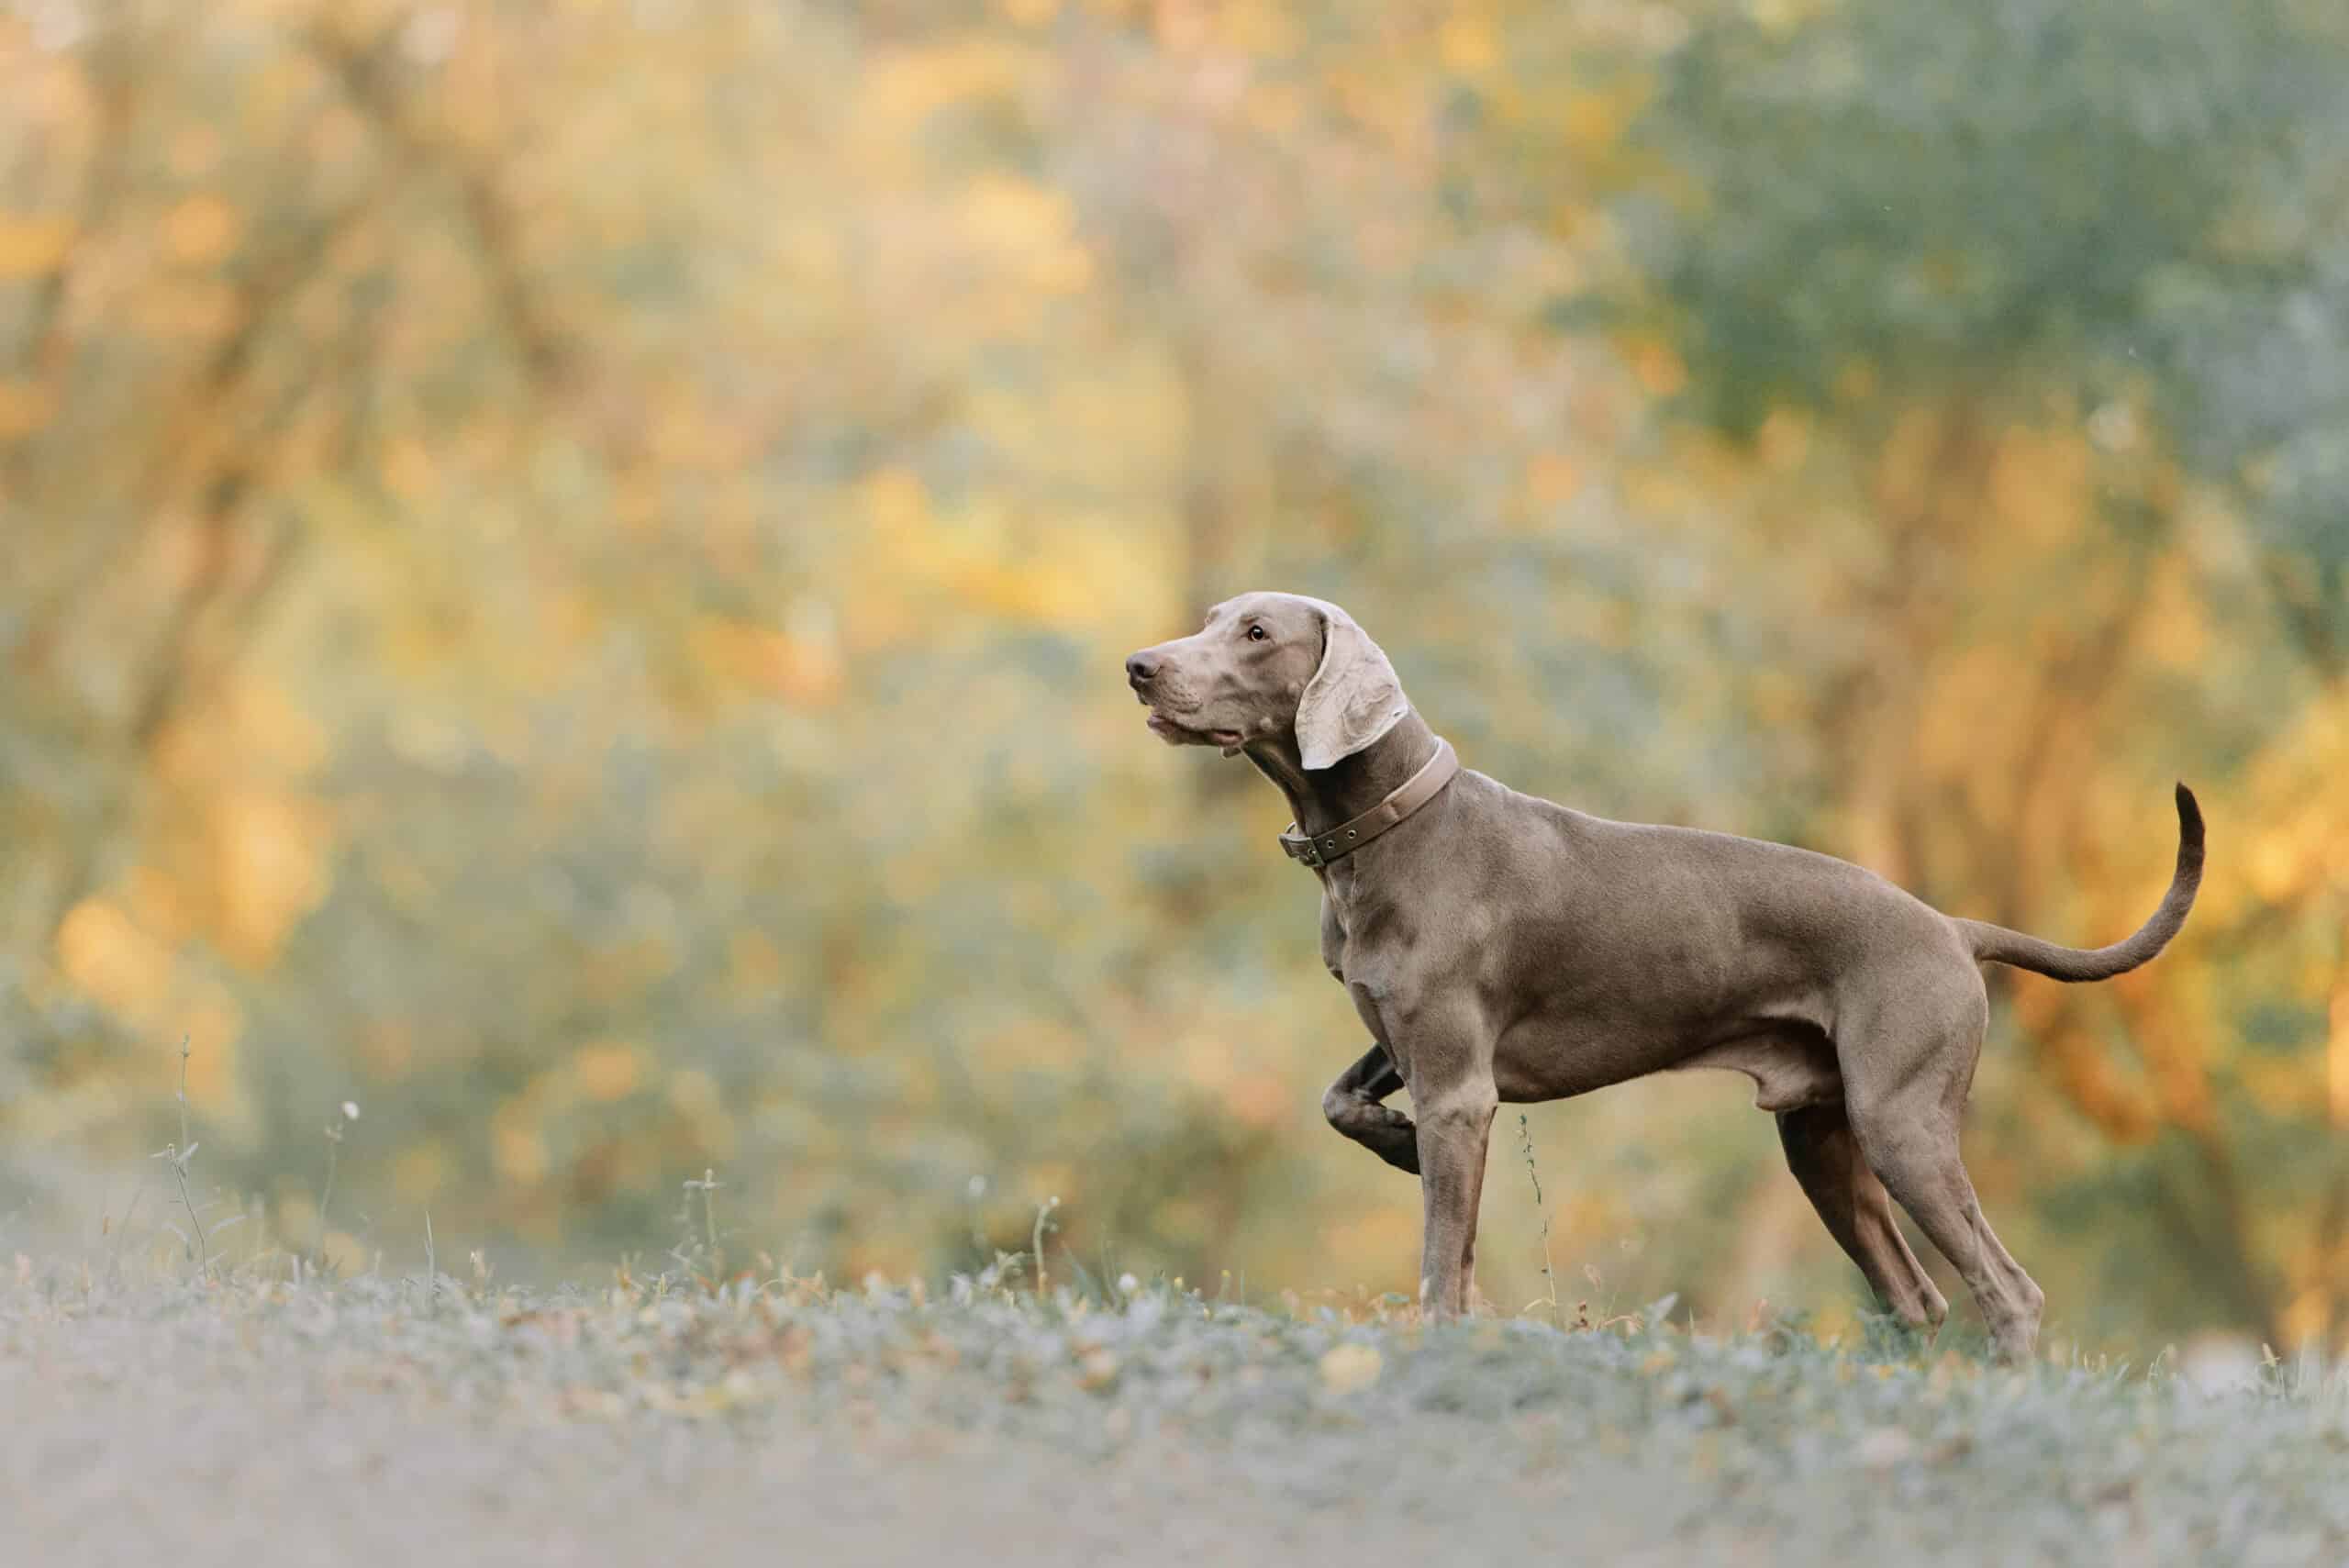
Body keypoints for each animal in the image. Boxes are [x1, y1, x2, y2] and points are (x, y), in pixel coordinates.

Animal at [1122, 586, 2199, 1361]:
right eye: (1210, 618)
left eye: (1256, 631)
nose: (1140, 666)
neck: (1389, 830)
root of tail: (1953, 928)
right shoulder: (1405, 1043)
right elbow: (1339, 1101)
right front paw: (1392, 1145)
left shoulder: (1459, 1084)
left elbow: (1439, 1257)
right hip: (1822, 1137)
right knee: (1916, 1295)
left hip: (1902, 1120)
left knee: (2006, 1289)